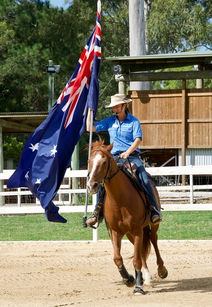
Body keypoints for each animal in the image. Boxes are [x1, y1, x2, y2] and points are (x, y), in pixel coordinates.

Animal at [86, 141, 167, 294]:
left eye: (104, 162)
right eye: (89, 161)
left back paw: (161, 270)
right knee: (141, 251)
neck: (119, 200)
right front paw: (128, 278)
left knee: (154, 241)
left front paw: (138, 286)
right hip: (130, 234)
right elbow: (118, 258)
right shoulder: (115, 231)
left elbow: (136, 260)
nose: (92, 185)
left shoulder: (137, 230)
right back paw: (146, 277)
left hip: (152, 226)